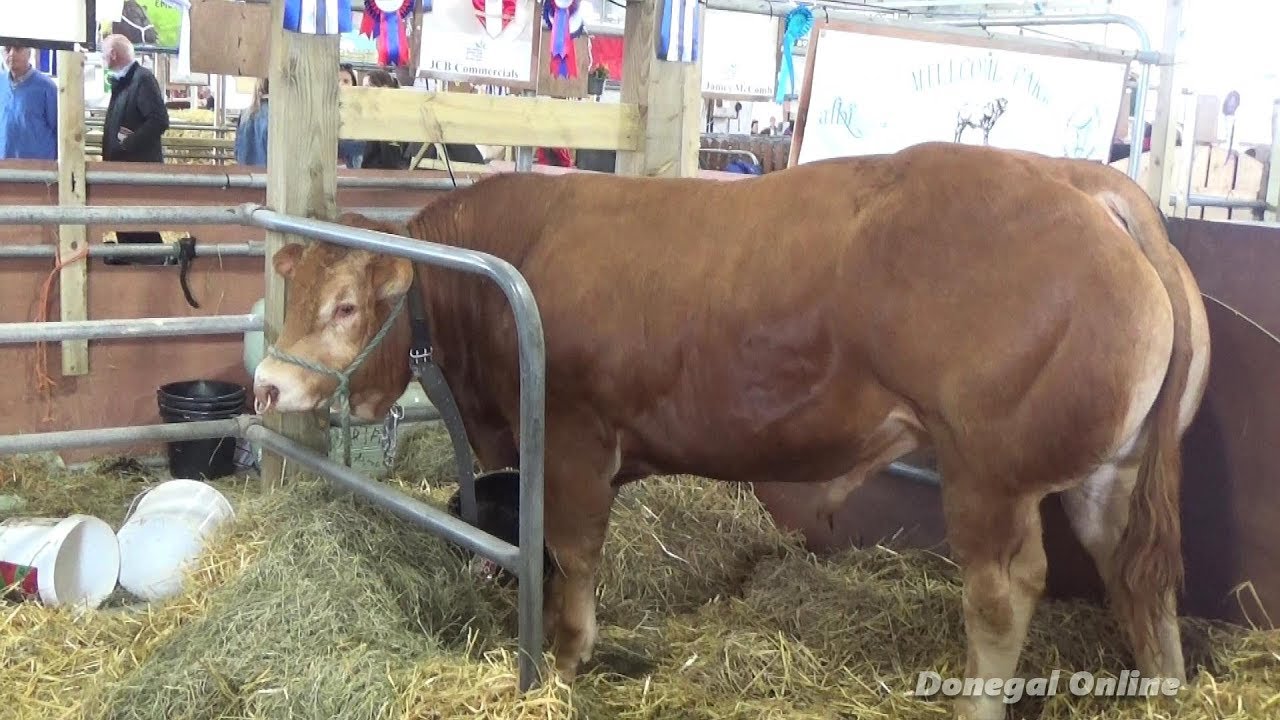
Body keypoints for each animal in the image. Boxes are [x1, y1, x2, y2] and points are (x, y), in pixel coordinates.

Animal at [251, 141, 1210, 720]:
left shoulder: (575, 435)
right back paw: (1165, 689)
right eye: (293, 293)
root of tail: (1079, 181)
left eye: (346, 306)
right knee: (1138, 576)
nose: (265, 385)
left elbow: (574, 553)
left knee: (1003, 593)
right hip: (1111, 476)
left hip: (989, 475)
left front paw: (564, 661)